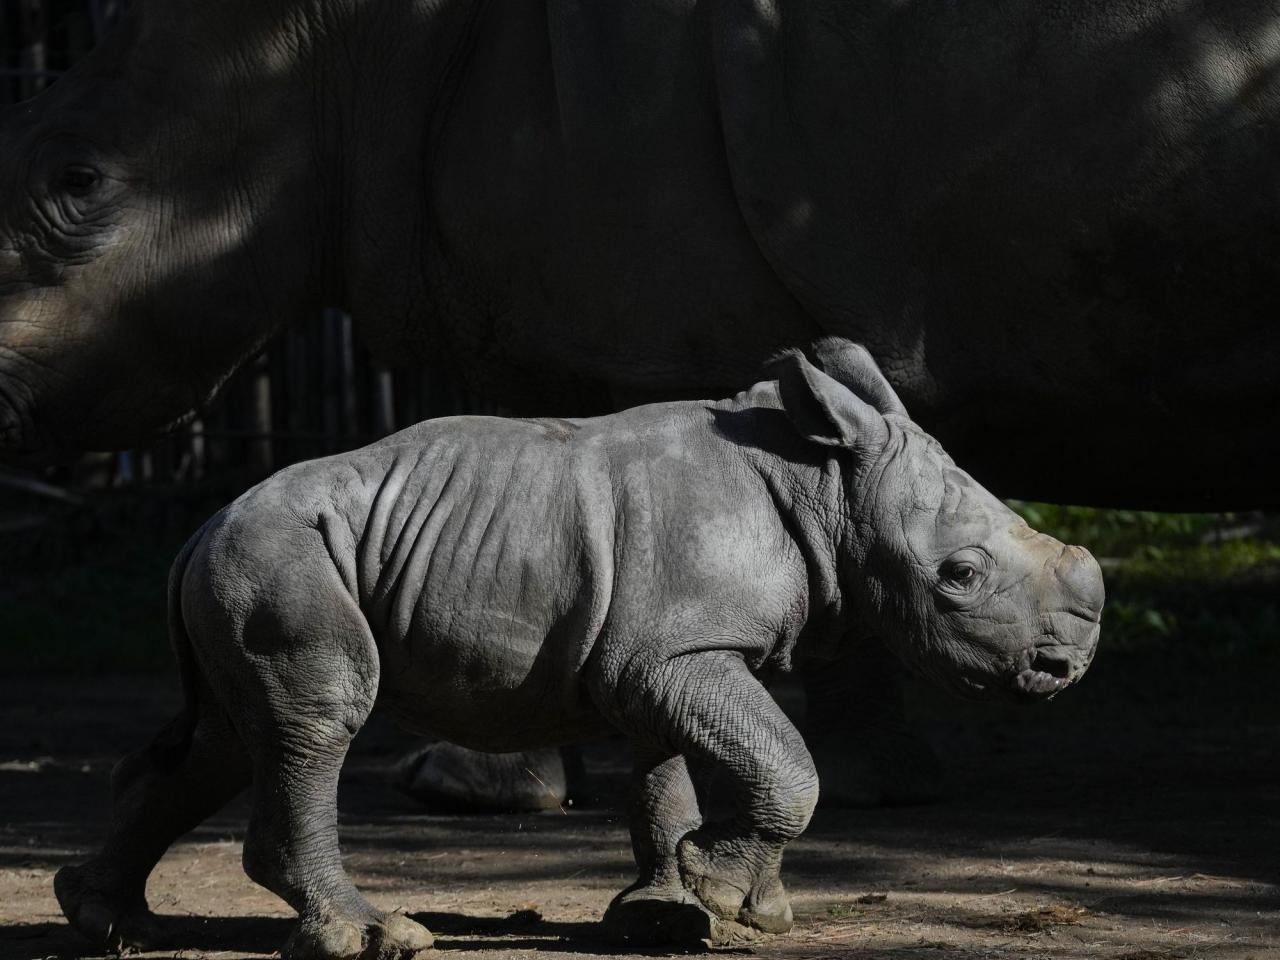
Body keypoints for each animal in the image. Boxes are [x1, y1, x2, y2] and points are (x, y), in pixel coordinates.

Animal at [57, 343, 1100, 960]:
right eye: (958, 576)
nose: (1065, 669)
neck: (827, 487)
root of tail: (197, 529)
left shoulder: (659, 649)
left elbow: (669, 776)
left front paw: (697, 912)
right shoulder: (673, 652)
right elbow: (783, 763)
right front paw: (722, 892)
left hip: (250, 564)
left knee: (230, 739)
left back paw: (108, 919)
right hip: (279, 559)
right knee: (316, 720)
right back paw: (378, 936)